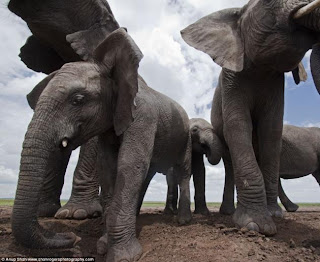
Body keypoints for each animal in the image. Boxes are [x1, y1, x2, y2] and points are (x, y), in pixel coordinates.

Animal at [11, 28, 192, 262]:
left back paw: (183, 221)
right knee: (147, 174)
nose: (71, 237)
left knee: (182, 171)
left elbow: (129, 164)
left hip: (185, 137)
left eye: (78, 99)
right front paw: (104, 245)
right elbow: (108, 168)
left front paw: (124, 255)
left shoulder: (143, 118)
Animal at [181, 0, 320, 236]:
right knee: (230, 162)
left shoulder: (276, 84)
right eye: (268, 3)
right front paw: (256, 225)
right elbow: (238, 127)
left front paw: (275, 214)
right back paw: (228, 213)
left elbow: (271, 130)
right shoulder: (231, 78)